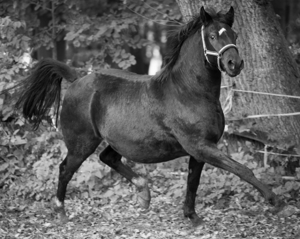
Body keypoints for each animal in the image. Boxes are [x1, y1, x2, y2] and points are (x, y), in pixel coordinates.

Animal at [15, 6, 278, 225]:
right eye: (212, 36)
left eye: (235, 35)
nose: (235, 63)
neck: (188, 92)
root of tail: (77, 78)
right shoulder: (201, 146)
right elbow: (242, 170)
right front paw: (274, 199)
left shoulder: (200, 150)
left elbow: (192, 183)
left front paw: (192, 217)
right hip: (82, 143)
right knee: (65, 169)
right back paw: (61, 212)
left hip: (117, 141)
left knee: (107, 158)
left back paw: (144, 194)